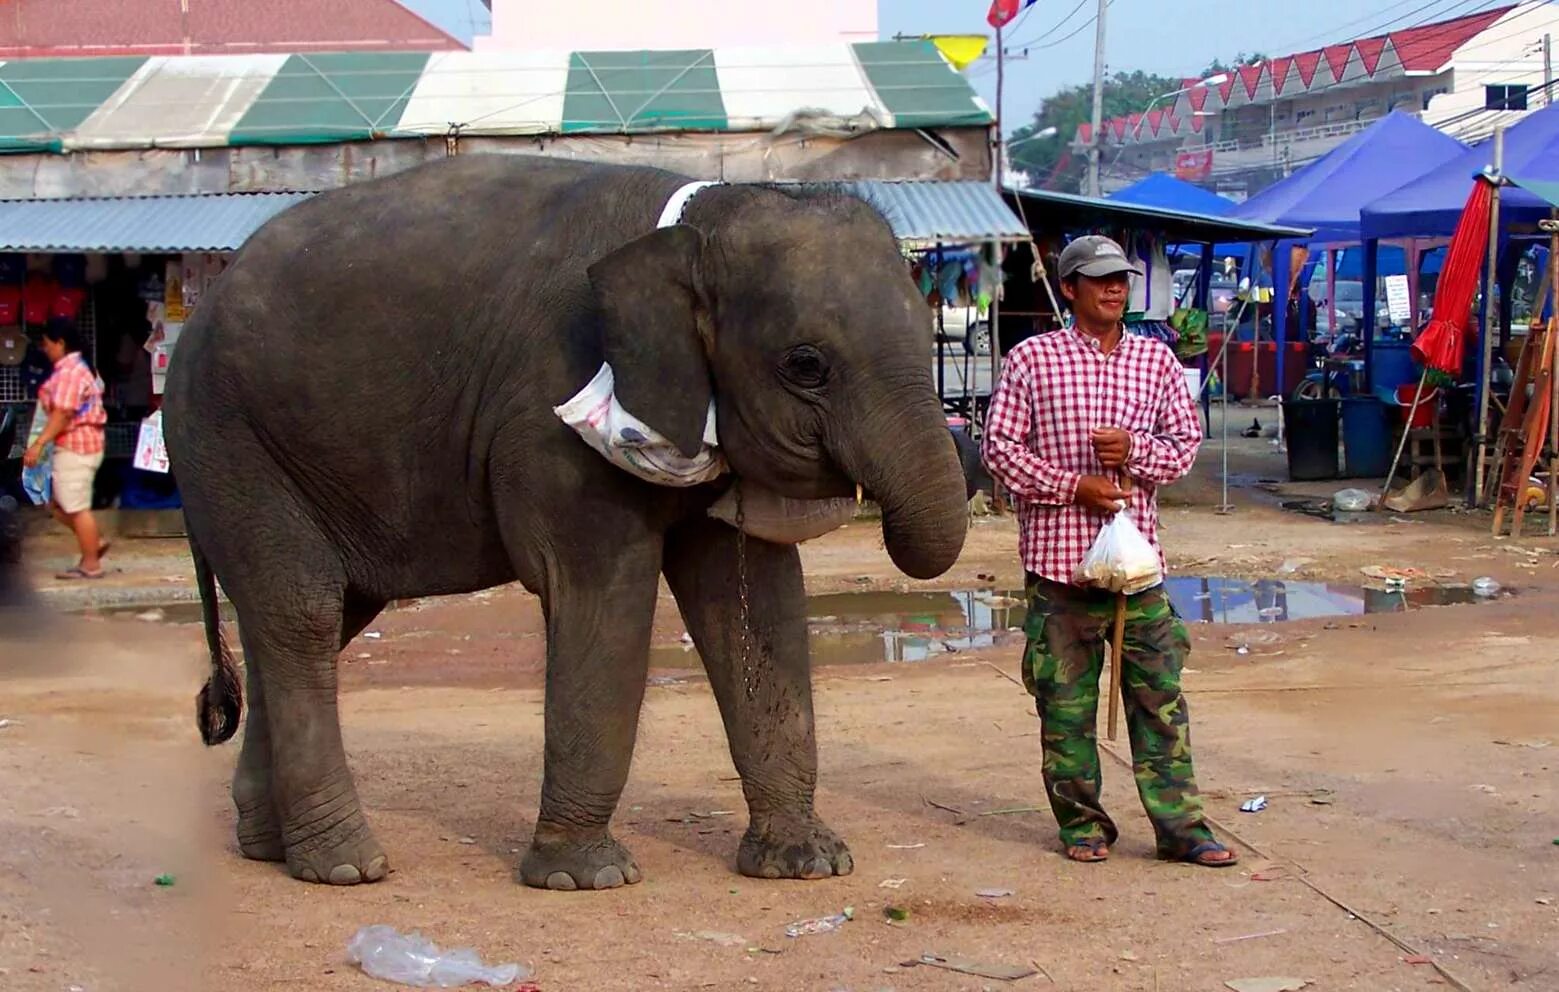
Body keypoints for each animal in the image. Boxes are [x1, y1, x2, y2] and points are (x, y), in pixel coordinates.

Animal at [164, 155, 966, 892]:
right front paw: (587, 878)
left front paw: (808, 865)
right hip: (228, 440)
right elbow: (602, 591)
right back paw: (346, 867)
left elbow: (753, 600)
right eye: (806, 365)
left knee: (318, 616)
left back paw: (272, 849)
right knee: (302, 609)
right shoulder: (550, 412)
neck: (695, 219)